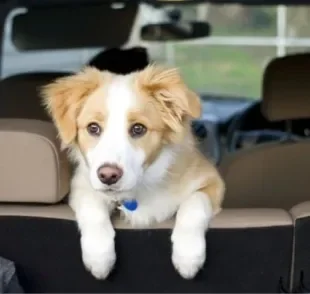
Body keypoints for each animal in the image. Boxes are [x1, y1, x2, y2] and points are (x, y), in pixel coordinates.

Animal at [41, 63, 225, 280]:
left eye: (138, 129)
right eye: (93, 128)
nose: (108, 176)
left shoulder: (212, 180)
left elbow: (194, 203)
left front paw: (188, 254)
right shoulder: (82, 184)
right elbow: (92, 207)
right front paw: (99, 256)